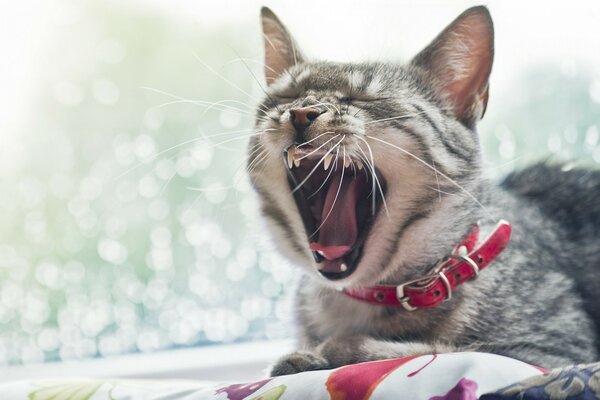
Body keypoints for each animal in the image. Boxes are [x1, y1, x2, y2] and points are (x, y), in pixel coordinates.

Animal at [246, 4, 600, 376]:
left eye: (364, 98)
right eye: (285, 96)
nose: (301, 112)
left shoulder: (546, 351)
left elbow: (430, 348)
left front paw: (323, 352)